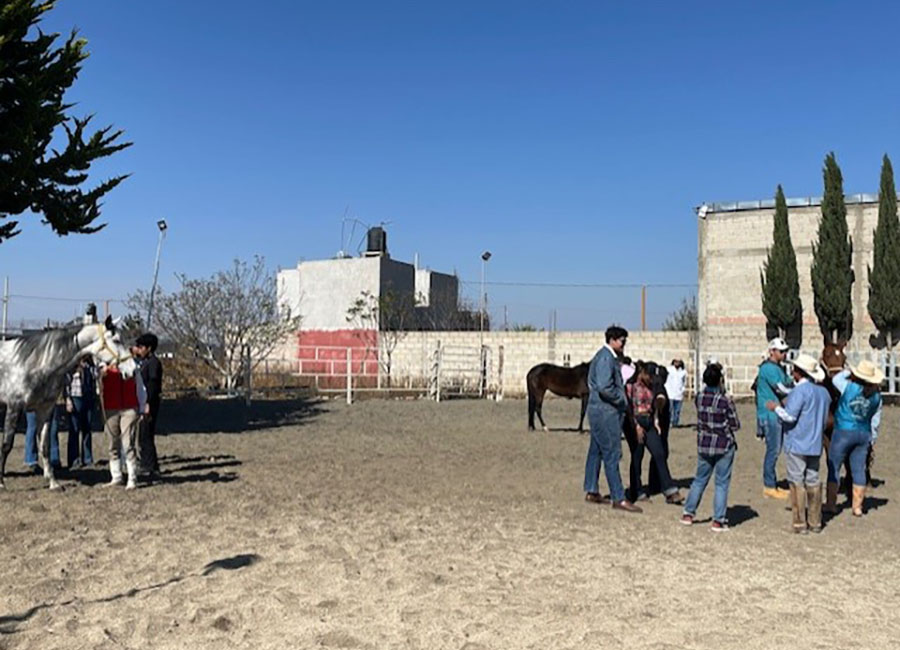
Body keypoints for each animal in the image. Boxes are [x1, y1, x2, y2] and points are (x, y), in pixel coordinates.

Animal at [0, 316, 137, 488]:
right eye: (117, 340)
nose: (133, 369)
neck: (36, 364)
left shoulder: (45, 409)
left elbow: (44, 445)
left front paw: (53, 483)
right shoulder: (14, 407)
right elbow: (6, 445)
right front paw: (1, 483)